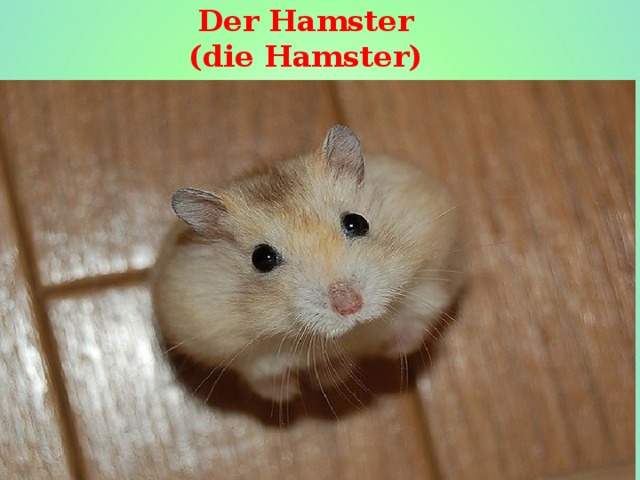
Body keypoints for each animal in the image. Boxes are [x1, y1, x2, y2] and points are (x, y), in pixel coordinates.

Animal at [151, 125, 463, 402]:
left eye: (356, 222)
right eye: (262, 258)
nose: (350, 306)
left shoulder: (435, 275)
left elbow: (417, 322)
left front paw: (392, 350)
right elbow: (261, 376)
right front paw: (289, 393)